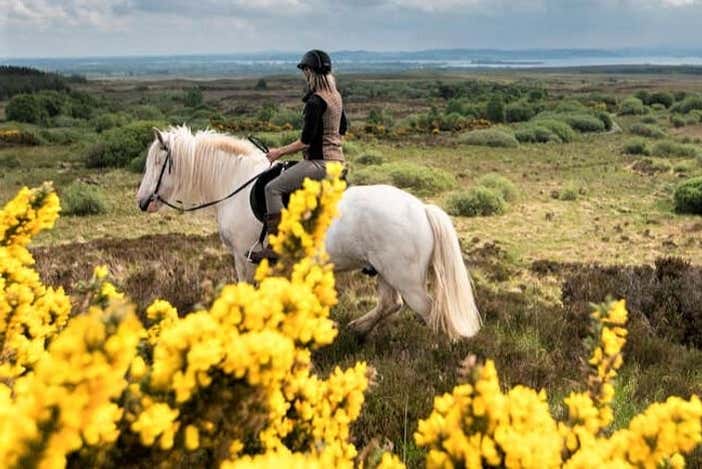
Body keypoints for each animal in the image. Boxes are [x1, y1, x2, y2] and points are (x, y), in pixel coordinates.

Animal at [135, 125, 482, 336]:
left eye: (157, 163)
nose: (142, 201)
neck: (236, 183)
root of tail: (422, 209)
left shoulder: (244, 257)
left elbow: (248, 291)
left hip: (405, 278)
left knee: (429, 312)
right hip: (386, 272)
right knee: (390, 304)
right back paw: (356, 330)